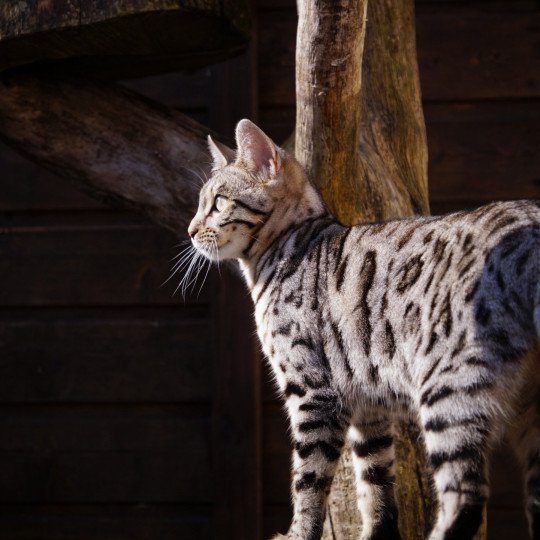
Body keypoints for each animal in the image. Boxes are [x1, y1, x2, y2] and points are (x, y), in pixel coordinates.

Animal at [187, 119, 540, 540]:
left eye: (218, 203)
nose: (190, 231)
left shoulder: (313, 392)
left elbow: (307, 481)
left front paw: (298, 533)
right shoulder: (366, 401)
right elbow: (375, 482)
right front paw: (377, 533)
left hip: (449, 389)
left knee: (467, 497)